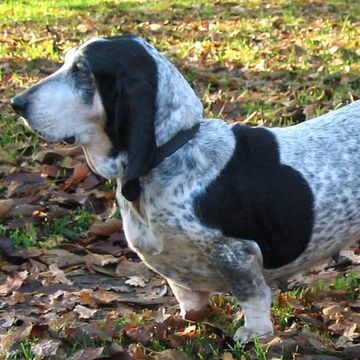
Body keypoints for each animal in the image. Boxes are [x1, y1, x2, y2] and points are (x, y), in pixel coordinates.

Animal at [11, 35, 360, 344]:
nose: (17, 103)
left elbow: (254, 298)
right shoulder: (180, 276)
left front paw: (254, 333)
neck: (171, 151)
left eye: (82, 69)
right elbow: (189, 304)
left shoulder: (236, 253)